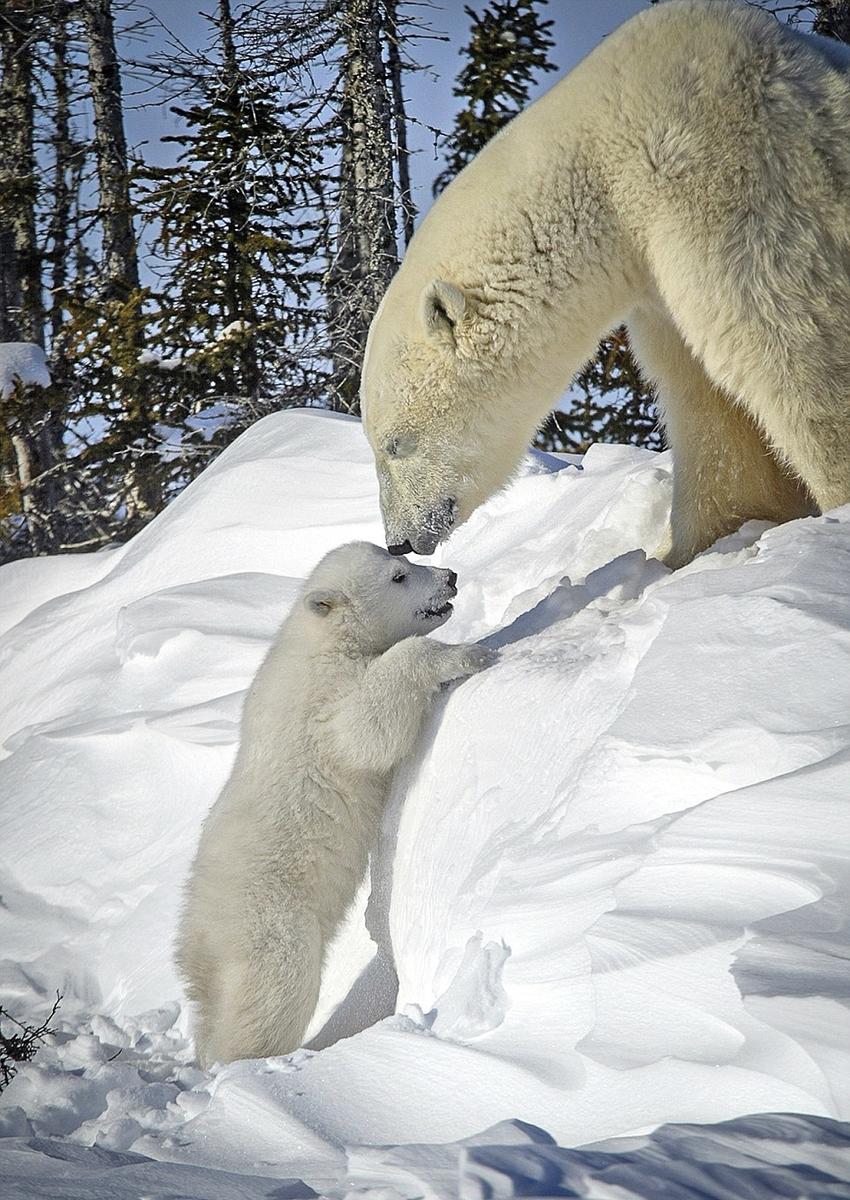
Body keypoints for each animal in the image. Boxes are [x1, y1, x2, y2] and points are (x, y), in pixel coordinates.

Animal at [360, 0, 850, 568]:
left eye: (396, 443)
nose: (399, 542)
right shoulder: (658, 277)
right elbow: (703, 398)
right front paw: (689, 549)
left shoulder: (736, 185)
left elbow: (796, 346)